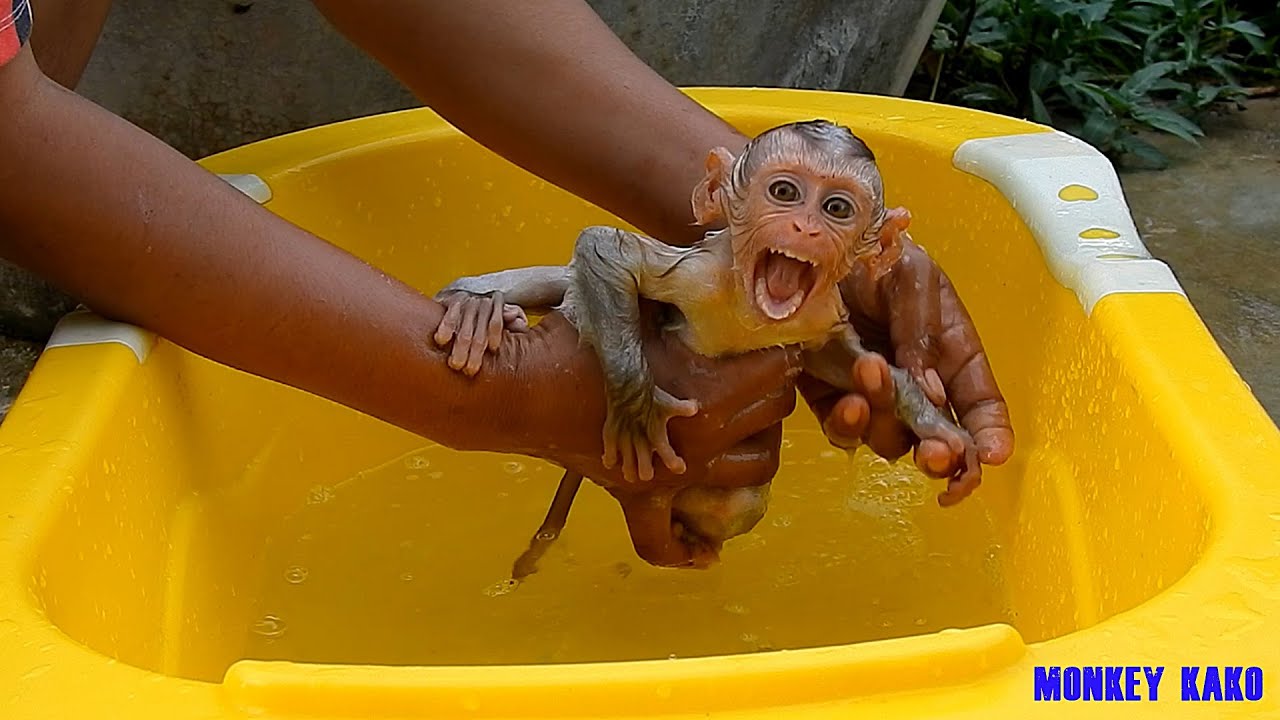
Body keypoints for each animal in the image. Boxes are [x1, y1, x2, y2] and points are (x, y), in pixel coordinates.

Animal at [431, 119, 981, 578]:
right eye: (785, 192)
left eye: (837, 208)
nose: (805, 228)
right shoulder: (699, 274)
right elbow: (603, 247)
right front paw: (638, 410)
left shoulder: (817, 314)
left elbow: (846, 361)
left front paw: (938, 428)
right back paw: (478, 311)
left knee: (738, 505)